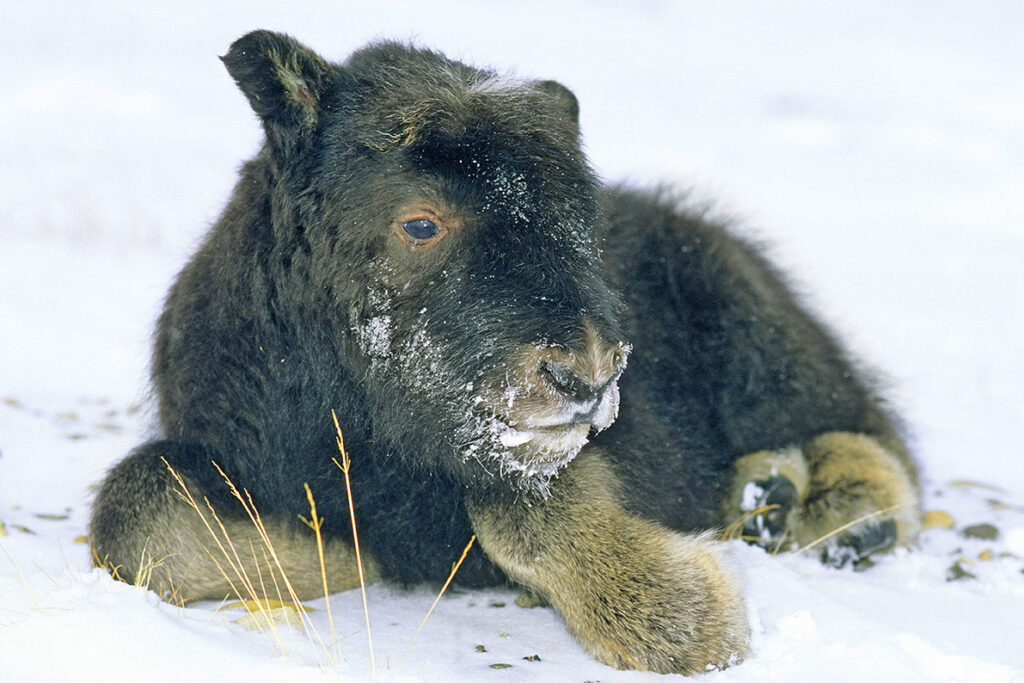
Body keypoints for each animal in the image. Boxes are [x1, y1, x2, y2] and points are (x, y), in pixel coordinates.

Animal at [90, 30, 921, 671]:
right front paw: (341, 554)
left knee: (871, 436)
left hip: (758, 333)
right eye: (419, 221)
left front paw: (687, 619)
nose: (587, 376)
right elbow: (136, 523)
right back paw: (767, 499)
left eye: (577, 215)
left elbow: (515, 505)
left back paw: (827, 509)